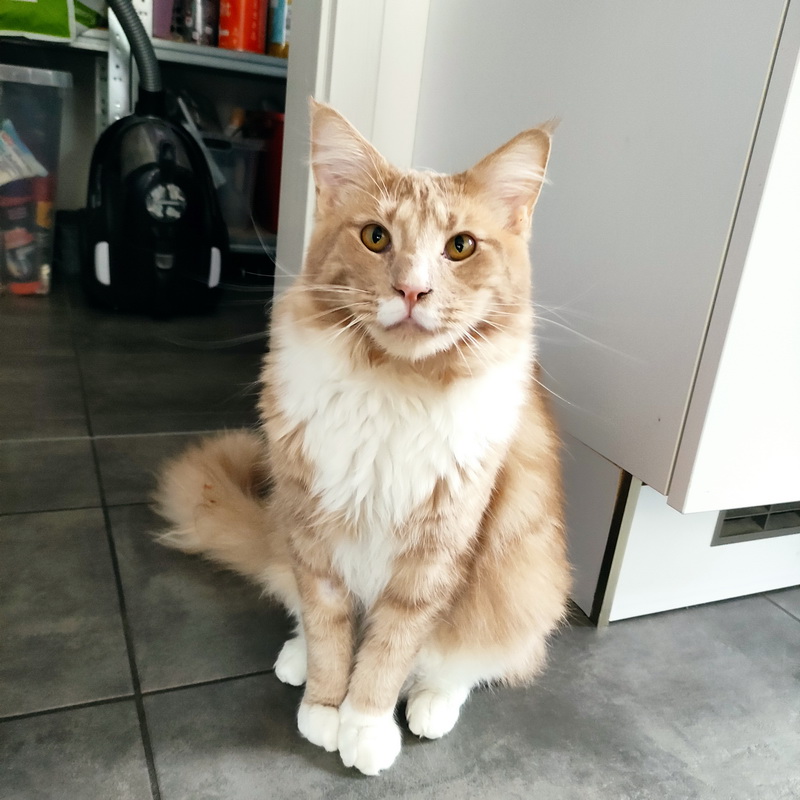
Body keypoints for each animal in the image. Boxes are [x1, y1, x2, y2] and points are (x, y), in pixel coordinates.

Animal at [154, 99, 571, 776]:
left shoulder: (435, 553)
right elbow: (330, 629)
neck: (394, 386)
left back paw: (432, 702)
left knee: (474, 661)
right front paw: (326, 706)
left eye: (460, 247)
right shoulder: (313, 534)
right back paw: (296, 658)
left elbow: (390, 649)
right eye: (376, 237)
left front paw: (366, 724)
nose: (412, 290)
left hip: (527, 581)